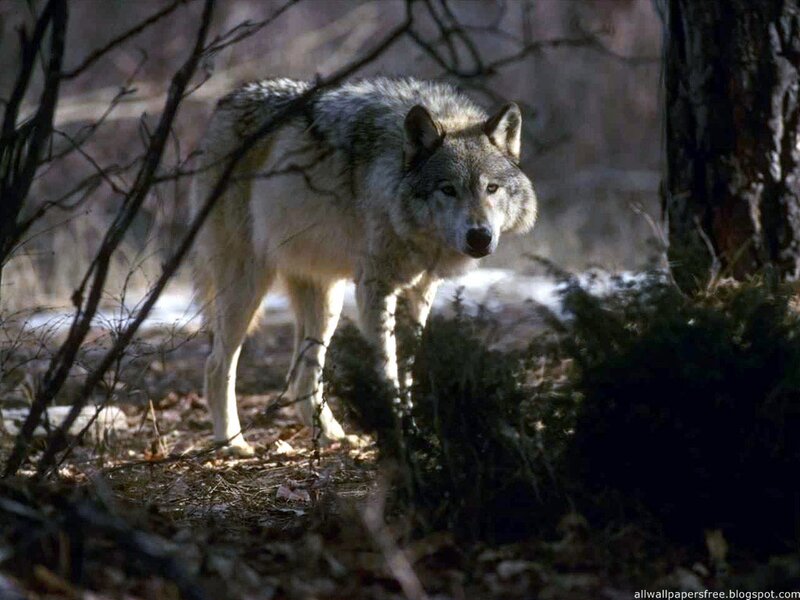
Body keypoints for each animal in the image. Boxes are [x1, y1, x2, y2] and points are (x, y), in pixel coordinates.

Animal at [190, 77, 537, 456]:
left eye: (491, 188)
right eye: (448, 189)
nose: (479, 237)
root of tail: (226, 103)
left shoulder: (421, 291)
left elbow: (407, 370)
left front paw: (414, 430)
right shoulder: (375, 289)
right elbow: (388, 371)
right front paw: (400, 433)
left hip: (327, 301)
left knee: (301, 380)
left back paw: (333, 436)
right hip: (247, 287)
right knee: (216, 366)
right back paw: (232, 443)